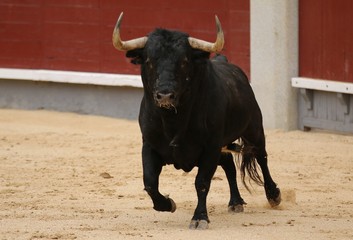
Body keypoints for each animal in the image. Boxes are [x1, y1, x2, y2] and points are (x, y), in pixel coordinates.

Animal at [113, 12, 280, 229]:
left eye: (184, 61)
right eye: (149, 61)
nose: (165, 95)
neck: (173, 120)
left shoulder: (210, 147)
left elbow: (202, 182)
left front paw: (200, 217)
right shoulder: (149, 145)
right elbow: (149, 183)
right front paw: (168, 204)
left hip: (253, 130)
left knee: (261, 156)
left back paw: (273, 195)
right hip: (224, 144)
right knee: (229, 165)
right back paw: (235, 202)